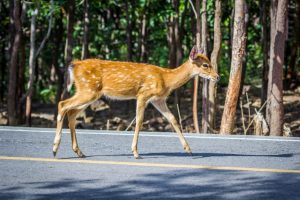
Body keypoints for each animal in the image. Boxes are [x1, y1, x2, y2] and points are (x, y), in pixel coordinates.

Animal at [52, 45, 219, 159]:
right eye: (205, 65)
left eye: (210, 62)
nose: (217, 77)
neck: (166, 79)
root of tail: (74, 65)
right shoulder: (143, 94)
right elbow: (139, 120)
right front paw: (135, 152)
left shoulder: (158, 99)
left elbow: (173, 119)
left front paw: (188, 149)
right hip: (88, 90)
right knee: (62, 105)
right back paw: (54, 149)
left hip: (90, 92)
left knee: (72, 112)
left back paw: (79, 152)